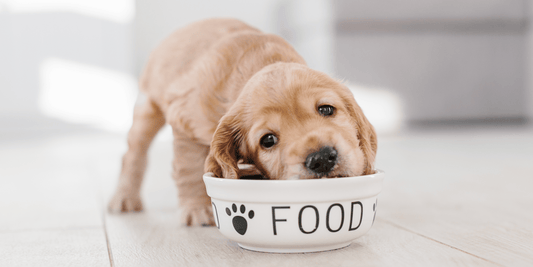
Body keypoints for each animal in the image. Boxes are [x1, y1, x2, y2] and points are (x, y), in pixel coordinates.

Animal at [108, 18, 376, 226]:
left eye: (326, 109)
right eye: (268, 140)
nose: (321, 159)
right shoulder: (185, 122)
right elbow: (189, 168)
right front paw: (196, 209)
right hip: (147, 108)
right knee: (133, 154)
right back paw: (124, 198)